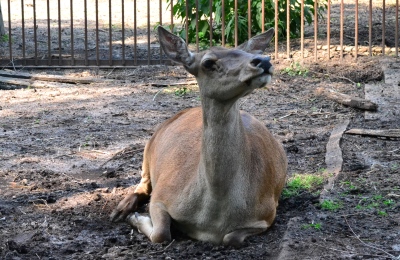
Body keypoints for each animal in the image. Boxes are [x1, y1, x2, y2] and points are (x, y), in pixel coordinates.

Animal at [110, 26, 288, 248]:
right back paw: (120, 210)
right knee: (143, 183)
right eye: (208, 62)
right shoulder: (163, 194)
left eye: (245, 51)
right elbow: (161, 233)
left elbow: (231, 238)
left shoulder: (266, 214)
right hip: (148, 149)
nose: (263, 60)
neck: (211, 216)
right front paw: (135, 217)